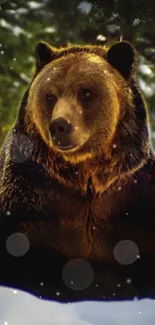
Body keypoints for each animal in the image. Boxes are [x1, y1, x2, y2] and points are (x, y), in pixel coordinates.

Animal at [0, 40, 155, 302]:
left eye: (86, 92)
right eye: (50, 95)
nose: (60, 126)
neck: (85, 175)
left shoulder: (131, 196)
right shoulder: (33, 195)